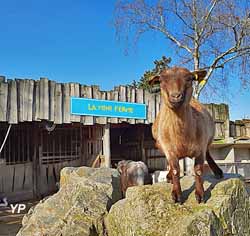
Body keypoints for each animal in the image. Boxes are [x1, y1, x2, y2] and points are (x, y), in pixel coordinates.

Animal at [149, 67, 224, 204]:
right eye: (161, 81)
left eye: (190, 79)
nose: (175, 96)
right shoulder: (169, 149)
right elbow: (175, 169)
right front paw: (176, 194)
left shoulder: (200, 148)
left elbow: (198, 171)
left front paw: (200, 195)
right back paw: (169, 176)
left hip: (208, 140)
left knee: (208, 154)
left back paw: (217, 171)